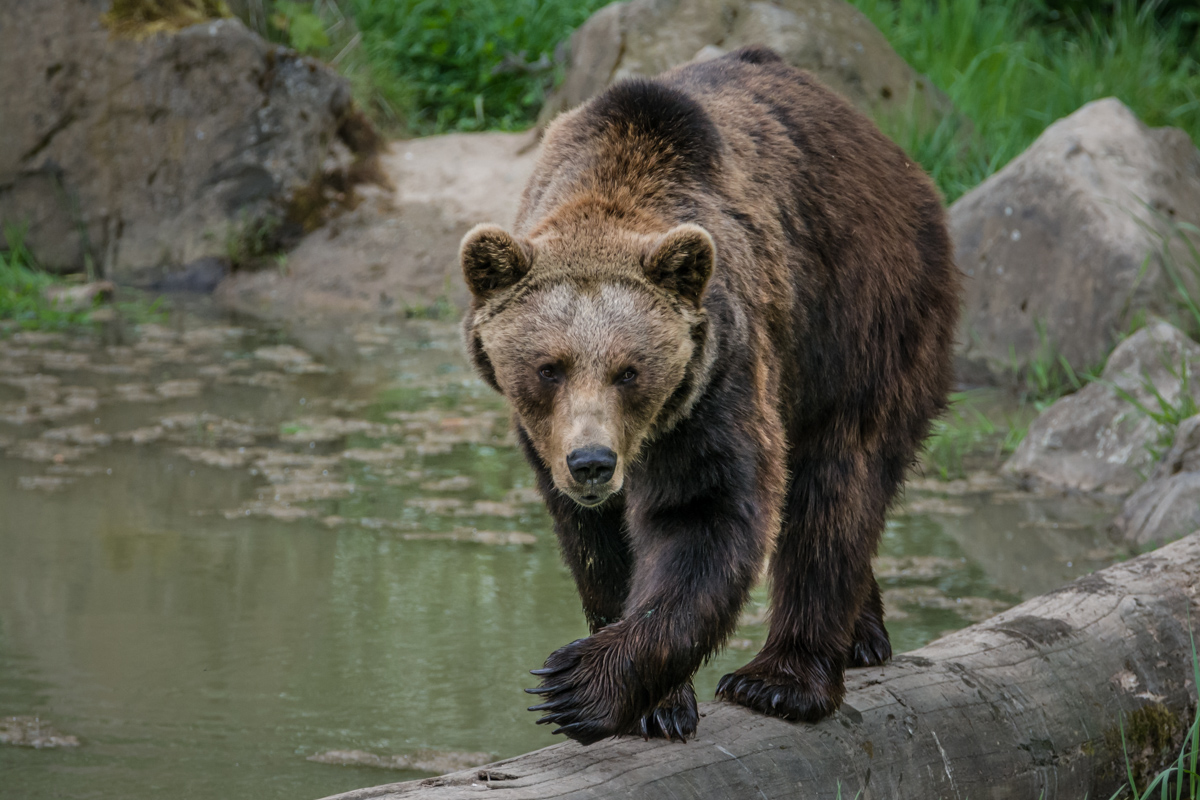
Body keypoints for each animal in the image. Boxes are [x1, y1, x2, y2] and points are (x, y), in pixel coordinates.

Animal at [459, 46, 959, 745]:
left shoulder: (716, 376)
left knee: (837, 485)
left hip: (865, 315)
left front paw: (576, 686)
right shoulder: (544, 438)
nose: (592, 463)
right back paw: (864, 632)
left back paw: (783, 678)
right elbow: (598, 544)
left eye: (630, 370)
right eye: (549, 367)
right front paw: (658, 703)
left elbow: (704, 511)